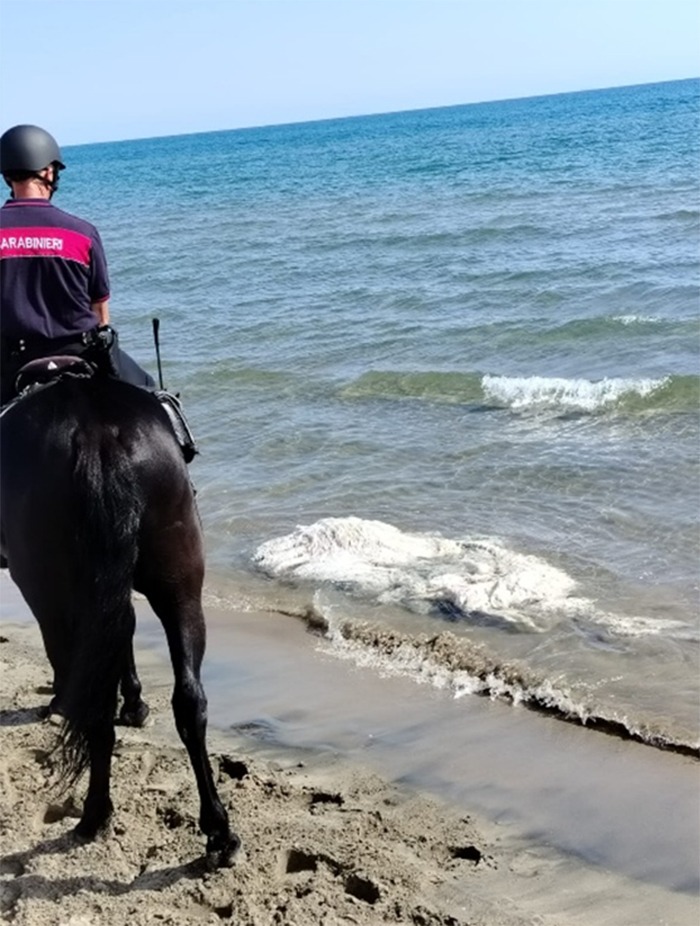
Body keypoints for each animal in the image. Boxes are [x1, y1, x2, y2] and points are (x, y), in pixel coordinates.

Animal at [0, 368, 239, 867]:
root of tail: (95, 430)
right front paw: (134, 702)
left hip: (47, 593)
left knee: (90, 698)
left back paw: (94, 812)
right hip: (180, 584)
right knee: (190, 700)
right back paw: (218, 831)